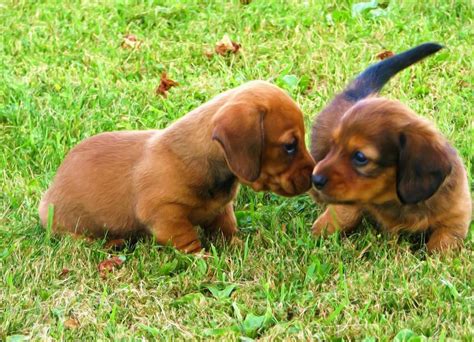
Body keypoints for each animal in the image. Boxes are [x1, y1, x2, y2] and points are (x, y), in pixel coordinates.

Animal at [39, 79, 314, 251]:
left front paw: (235, 246)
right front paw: (204, 258)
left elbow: (226, 229)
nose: (315, 177)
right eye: (290, 146)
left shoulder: (221, 210)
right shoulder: (165, 215)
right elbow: (187, 240)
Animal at [312, 42, 470, 252]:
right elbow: (344, 213)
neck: (393, 201)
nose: (315, 179)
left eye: (360, 157)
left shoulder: (456, 218)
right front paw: (320, 232)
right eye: (333, 145)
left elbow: (442, 245)